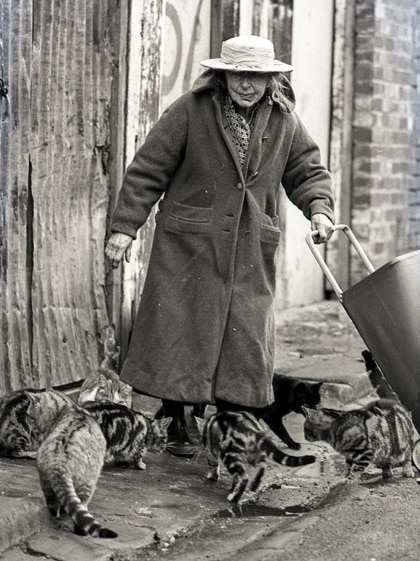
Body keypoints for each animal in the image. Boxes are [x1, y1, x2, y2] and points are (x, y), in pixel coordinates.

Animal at [35, 400, 117, 536]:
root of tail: (59, 462)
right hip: (86, 481)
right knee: (81, 505)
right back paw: (81, 531)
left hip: (45, 479)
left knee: (53, 502)